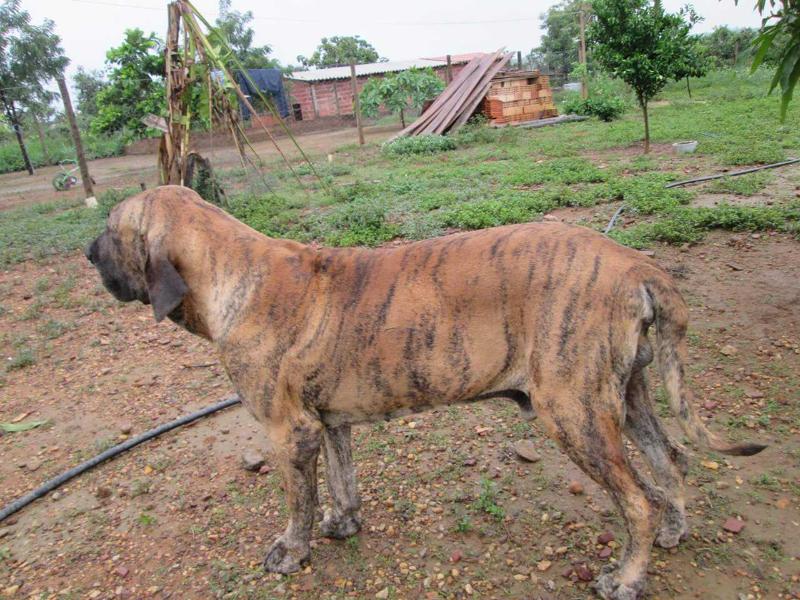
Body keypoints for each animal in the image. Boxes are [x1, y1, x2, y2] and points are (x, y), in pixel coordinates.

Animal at [84, 185, 764, 596]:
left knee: (638, 499)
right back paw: (674, 529)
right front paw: (343, 523)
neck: (233, 274)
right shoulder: (329, 423)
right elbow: (342, 482)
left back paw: (626, 577)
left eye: (111, 229)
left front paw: (291, 550)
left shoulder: (289, 432)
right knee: (671, 460)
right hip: (627, 395)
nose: (87, 253)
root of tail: (635, 262)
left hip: (572, 411)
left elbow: (297, 502)